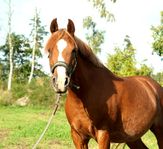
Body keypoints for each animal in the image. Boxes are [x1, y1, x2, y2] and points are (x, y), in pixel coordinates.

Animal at [45, 18, 163, 149]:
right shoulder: (78, 136)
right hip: (132, 137)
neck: (84, 96)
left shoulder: (104, 134)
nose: (61, 82)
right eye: (49, 50)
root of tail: (153, 86)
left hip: (159, 130)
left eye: (74, 50)